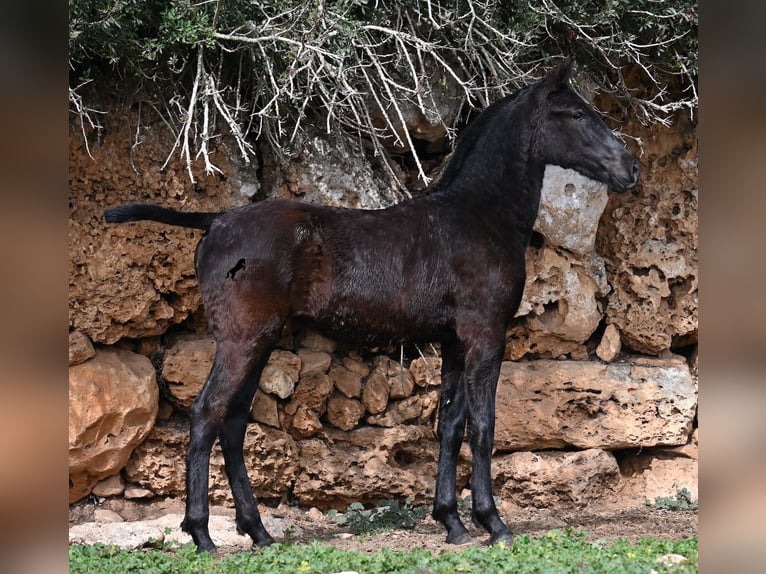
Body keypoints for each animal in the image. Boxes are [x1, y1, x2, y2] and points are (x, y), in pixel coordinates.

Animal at [105, 58, 640, 552]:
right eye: (576, 113)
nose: (631, 168)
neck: (478, 217)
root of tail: (215, 220)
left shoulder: (455, 342)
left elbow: (451, 425)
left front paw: (451, 522)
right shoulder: (485, 334)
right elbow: (484, 427)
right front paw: (493, 523)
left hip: (258, 341)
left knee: (232, 423)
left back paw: (258, 532)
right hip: (242, 339)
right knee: (206, 415)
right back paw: (202, 534)